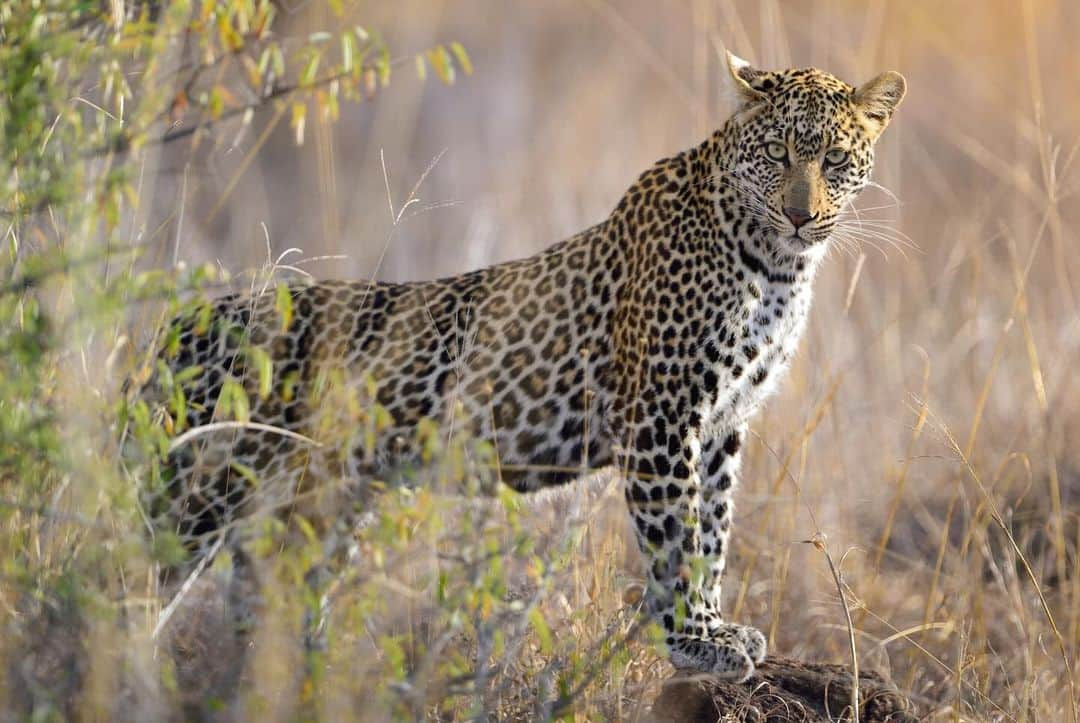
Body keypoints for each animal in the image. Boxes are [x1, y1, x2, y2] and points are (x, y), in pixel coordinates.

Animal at [141, 53, 902, 678]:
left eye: (835, 160)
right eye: (777, 153)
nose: (801, 215)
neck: (776, 268)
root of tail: (175, 326)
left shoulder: (721, 425)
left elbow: (712, 531)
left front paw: (716, 628)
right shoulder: (661, 415)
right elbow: (676, 538)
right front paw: (693, 641)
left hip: (304, 509)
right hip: (194, 498)